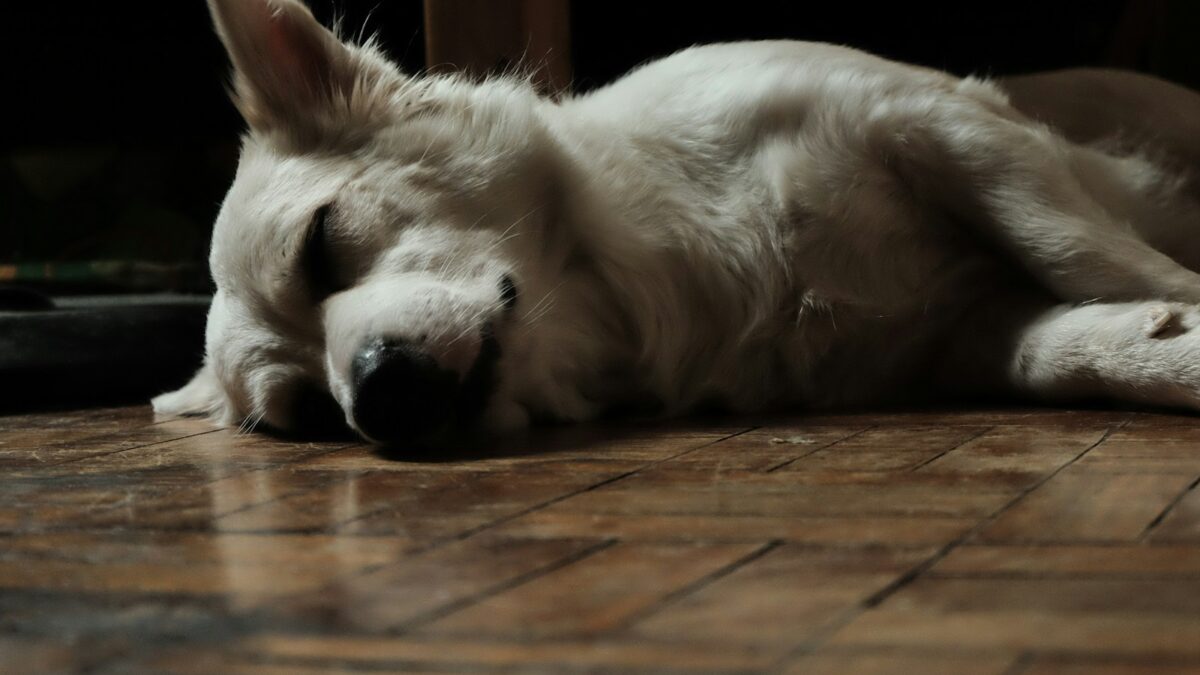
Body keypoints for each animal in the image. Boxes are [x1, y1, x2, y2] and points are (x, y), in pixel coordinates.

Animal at [154, 0, 1200, 441]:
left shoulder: (945, 127)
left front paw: (1177, 307)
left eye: (322, 245)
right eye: (307, 418)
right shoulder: (958, 334)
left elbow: (1085, 253)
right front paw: (1163, 347)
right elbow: (1058, 346)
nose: (376, 399)